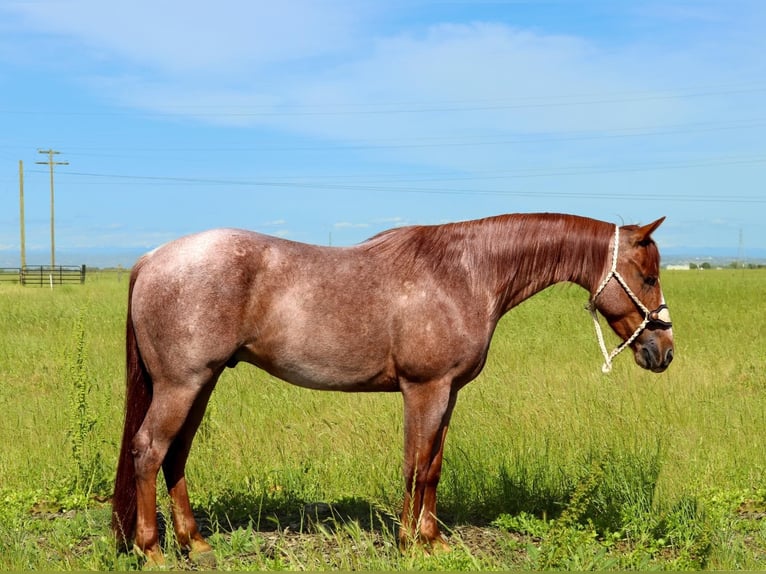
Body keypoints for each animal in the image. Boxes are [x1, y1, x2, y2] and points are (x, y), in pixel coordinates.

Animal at [111, 214, 676, 564]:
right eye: (648, 277)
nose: (664, 351)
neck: (466, 273)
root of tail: (152, 259)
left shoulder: (448, 393)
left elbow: (433, 467)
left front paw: (433, 541)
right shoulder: (424, 390)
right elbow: (415, 464)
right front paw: (409, 543)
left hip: (201, 384)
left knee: (176, 455)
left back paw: (196, 545)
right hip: (181, 385)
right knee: (149, 450)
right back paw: (153, 551)